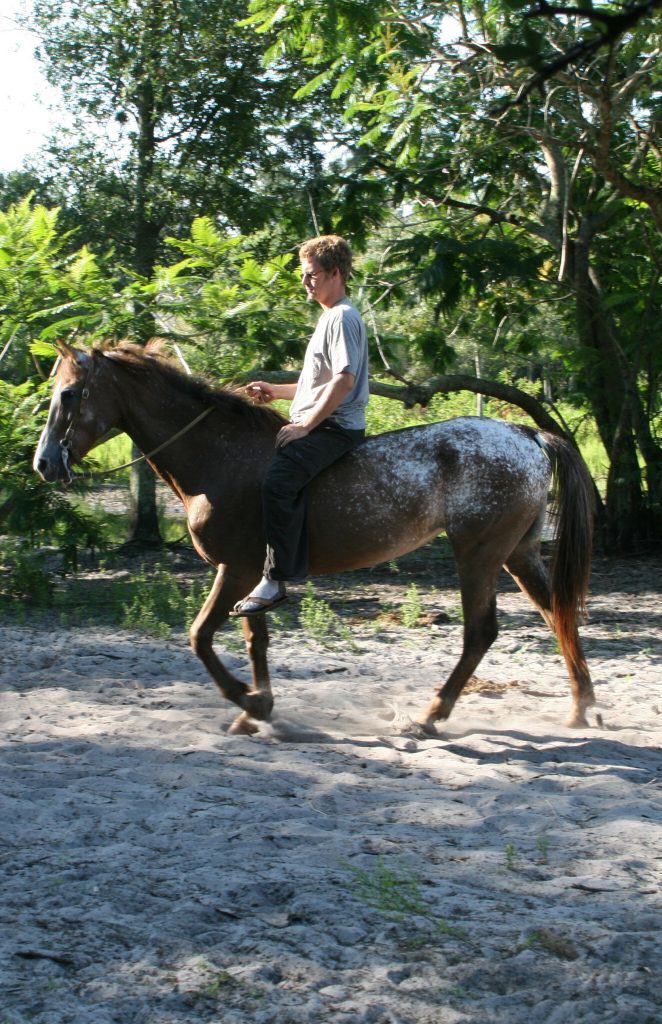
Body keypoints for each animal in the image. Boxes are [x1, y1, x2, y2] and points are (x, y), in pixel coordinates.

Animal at [33, 342, 598, 737]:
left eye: (68, 394)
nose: (44, 464)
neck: (218, 456)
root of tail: (526, 435)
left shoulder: (235, 569)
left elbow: (199, 636)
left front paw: (250, 702)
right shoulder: (252, 577)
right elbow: (254, 638)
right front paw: (257, 709)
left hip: (478, 554)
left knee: (481, 633)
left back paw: (430, 715)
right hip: (518, 553)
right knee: (557, 613)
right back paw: (582, 708)